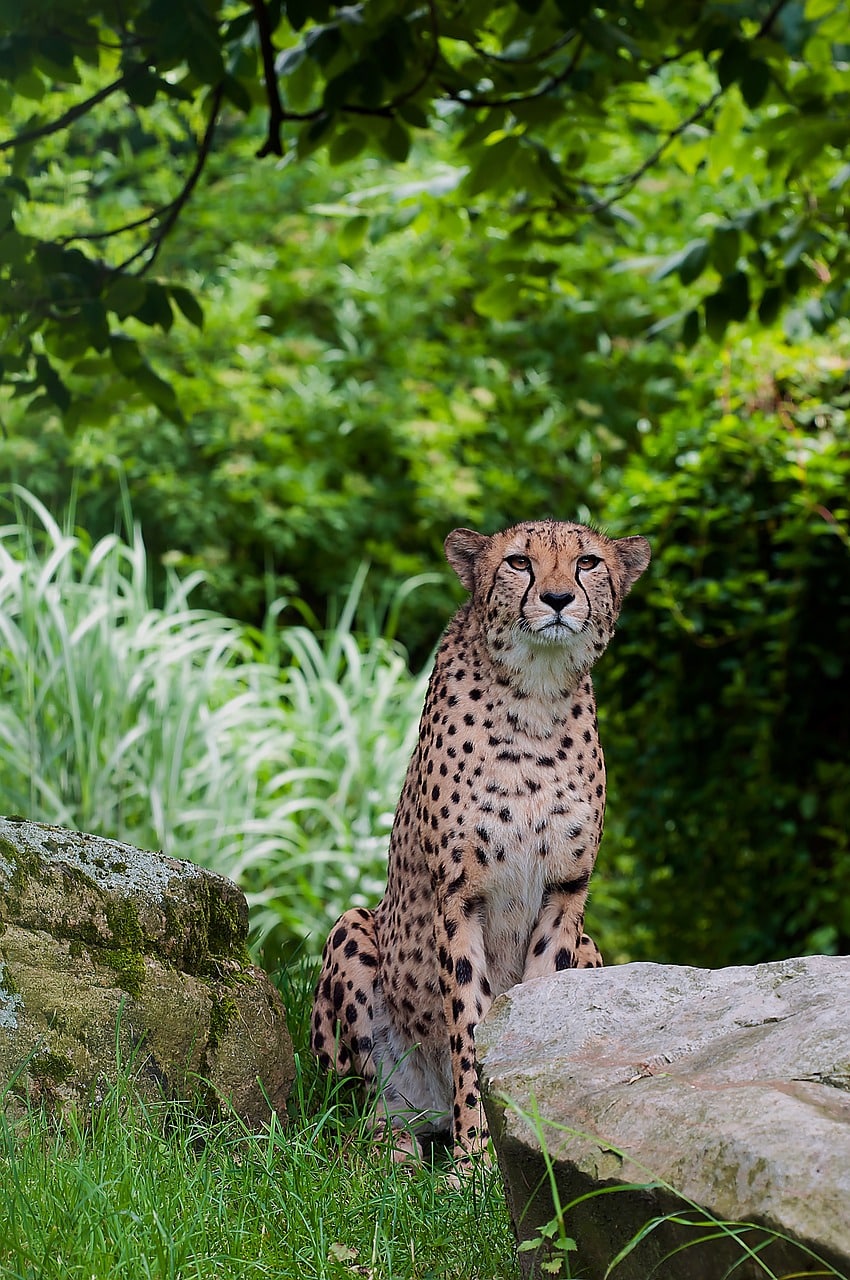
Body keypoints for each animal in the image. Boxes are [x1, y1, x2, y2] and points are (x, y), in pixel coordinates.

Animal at [312, 522, 650, 1172]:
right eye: (518, 563)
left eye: (588, 563)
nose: (557, 599)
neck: (537, 697)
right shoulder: (459, 896)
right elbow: (470, 1023)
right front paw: (477, 1162)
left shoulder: (565, 893)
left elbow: (535, 1015)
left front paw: (529, 1140)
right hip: (354, 931)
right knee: (359, 1109)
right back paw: (396, 1146)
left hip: (592, 947)